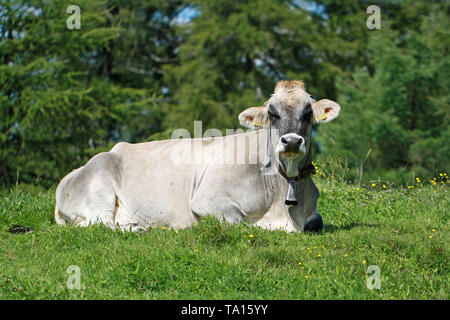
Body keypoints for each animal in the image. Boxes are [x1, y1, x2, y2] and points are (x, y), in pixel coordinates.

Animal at [54, 80, 340, 232]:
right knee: (99, 225)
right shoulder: (207, 198)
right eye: (272, 114)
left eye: (307, 114)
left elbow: (316, 221)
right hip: (98, 194)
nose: (291, 141)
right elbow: (239, 221)